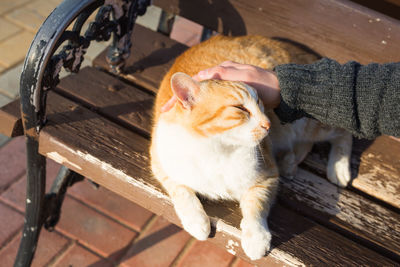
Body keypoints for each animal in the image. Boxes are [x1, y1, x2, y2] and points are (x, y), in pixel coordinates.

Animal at [149, 34, 350, 260]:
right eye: (240, 108)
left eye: (261, 103)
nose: (268, 124)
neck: (217, 150)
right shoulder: (160, 163)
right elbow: (181, 191)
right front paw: (196, 221)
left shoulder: (267, 177)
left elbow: (256, 207)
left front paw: (256, 239)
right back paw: (289, 163)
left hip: (307, 123)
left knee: (343, 132)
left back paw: (338, 169)